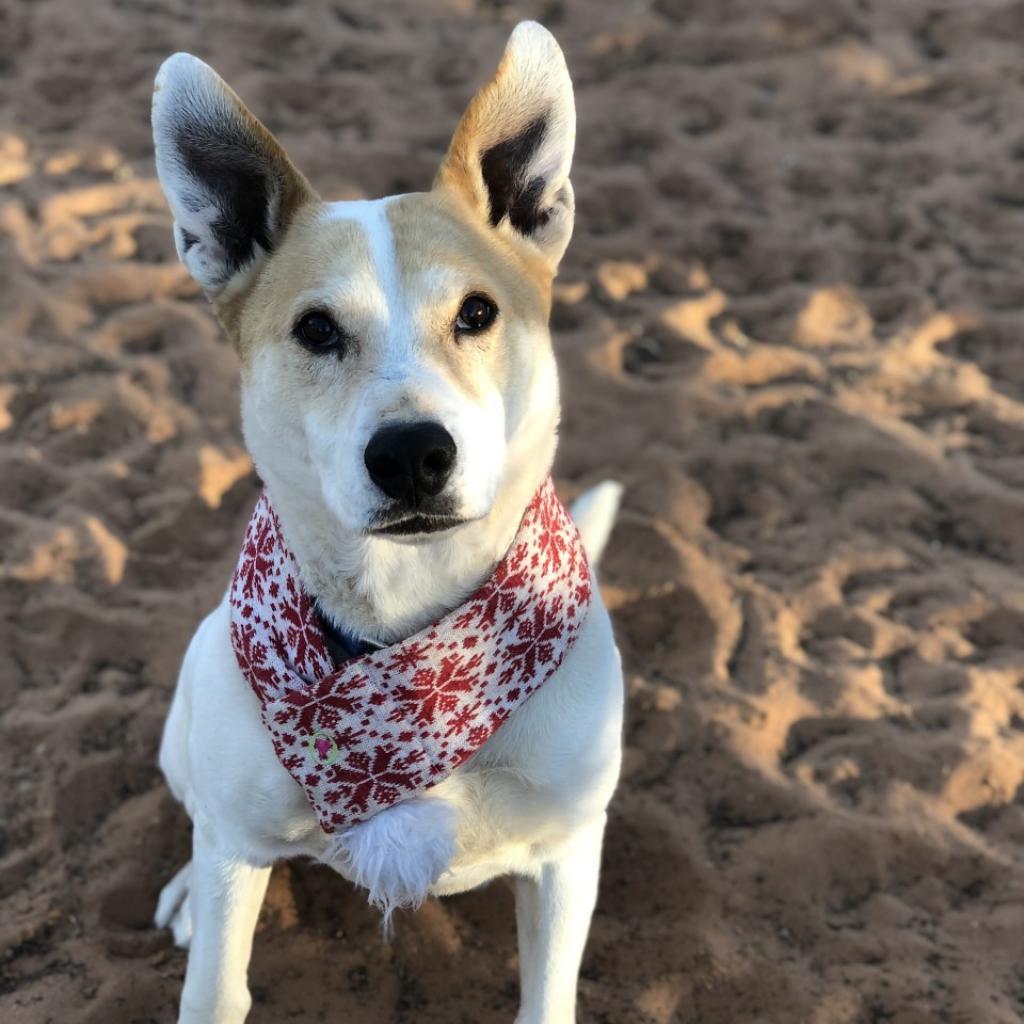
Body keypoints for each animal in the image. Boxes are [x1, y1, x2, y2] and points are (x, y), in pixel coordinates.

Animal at [151, 22, 622, 1024]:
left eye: (478, 312)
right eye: (316, 330)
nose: (411, 454)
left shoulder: (568, 854)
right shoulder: (236, 857)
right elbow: (214, 986)